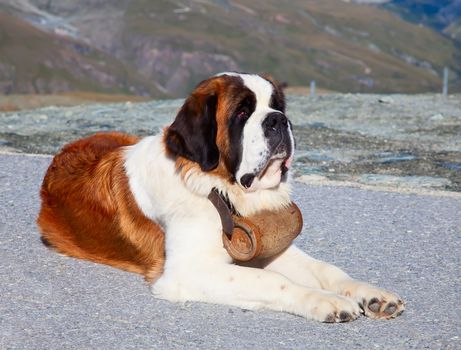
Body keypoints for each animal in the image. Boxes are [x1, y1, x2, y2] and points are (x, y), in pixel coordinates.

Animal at [36, 72, 402, 322]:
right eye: (242, 113)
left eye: (278, 106)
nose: (279, 119)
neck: (219, 191)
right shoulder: (187, 271)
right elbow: (271, 280)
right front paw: (326, 301)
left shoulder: (265, 245)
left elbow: (326, 268)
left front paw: (370, 294)